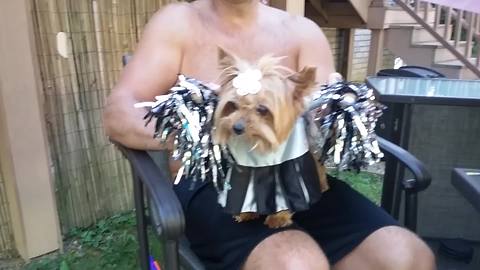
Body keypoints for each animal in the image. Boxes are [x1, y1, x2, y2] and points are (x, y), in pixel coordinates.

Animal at [215, 49, 330, 229]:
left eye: (262, 109)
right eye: (232, 105)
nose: (237, 127)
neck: (260, 141)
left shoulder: (287, 166)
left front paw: (279, 217)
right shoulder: (247, 168)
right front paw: (246, 212)